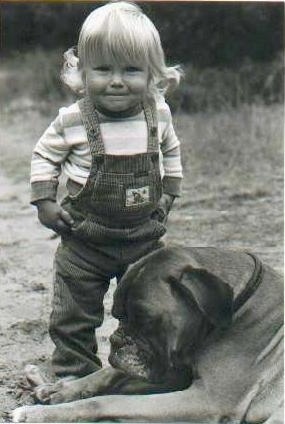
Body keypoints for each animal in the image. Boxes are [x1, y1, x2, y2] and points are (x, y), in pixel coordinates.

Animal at [11, 243, 282, 422]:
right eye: (117, 315)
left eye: (147, 320)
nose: (116, 340)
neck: (239, 306)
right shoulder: (173, 373)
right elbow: (107, 373)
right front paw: (60, 389)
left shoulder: (208, 400)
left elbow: (110, 400)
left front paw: (40, 414)